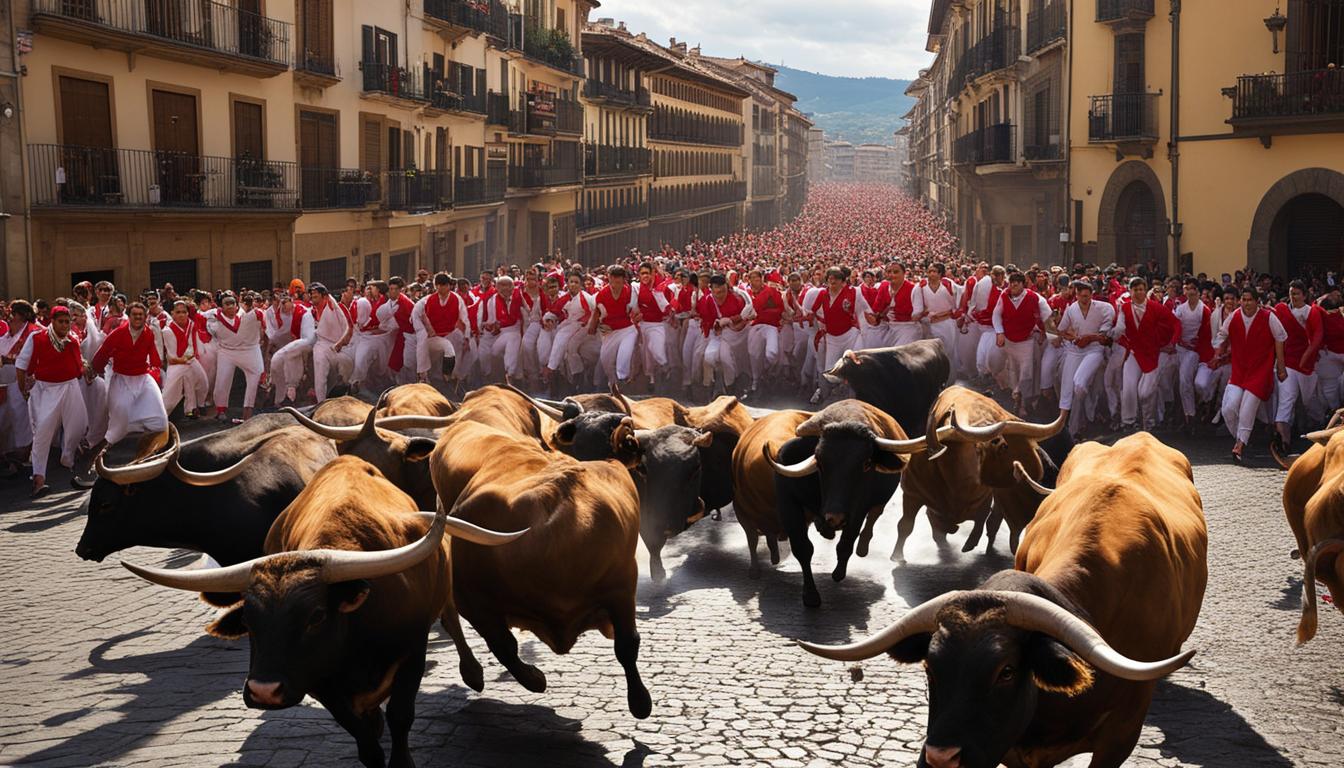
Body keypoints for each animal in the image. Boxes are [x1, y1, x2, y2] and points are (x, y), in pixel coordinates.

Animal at [120, 457, 521, 768]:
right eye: (248, 620)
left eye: (315, 617)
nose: (264, 691)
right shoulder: (316, 681)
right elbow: (363, 737)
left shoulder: (412, 652)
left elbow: (401, 716)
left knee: (451, 617)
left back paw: (475, 673)